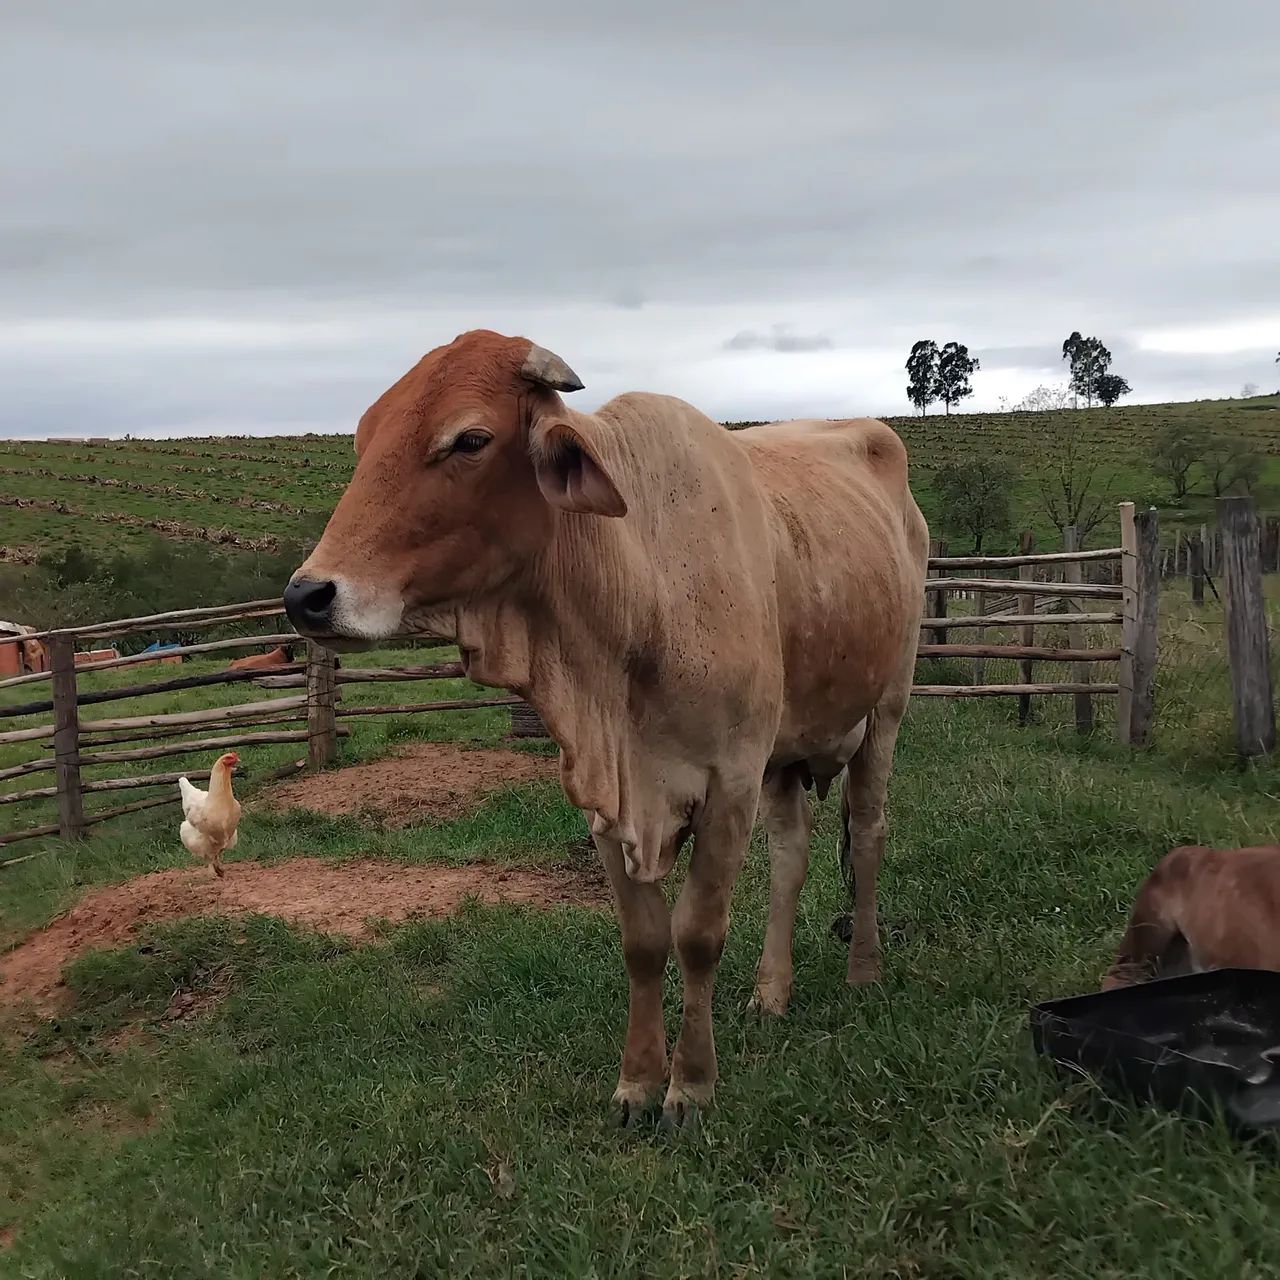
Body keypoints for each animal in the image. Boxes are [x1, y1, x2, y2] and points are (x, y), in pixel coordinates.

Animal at [283, 329, 929, 1129]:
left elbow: (698, 935)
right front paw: (636, 1084)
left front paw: (691, 1087)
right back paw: (771, 991)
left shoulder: (730, 784)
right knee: (792, 856)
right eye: (366, 436)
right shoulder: (608, 800)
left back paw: (864, 970)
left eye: (470, 439)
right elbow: (644, 943)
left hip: (886, 710)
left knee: (867, 836)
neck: (640, 589)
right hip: (788, 753)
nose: (308, 596)